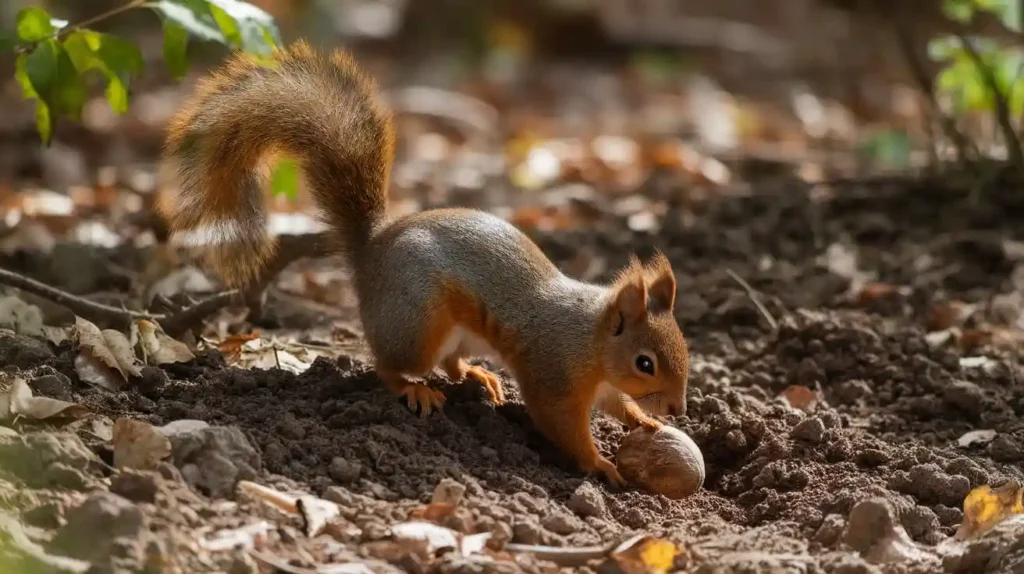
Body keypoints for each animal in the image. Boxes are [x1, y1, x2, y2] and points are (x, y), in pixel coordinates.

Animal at [157, 41, 688, 487]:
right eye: (645, 363)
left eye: (682, 347)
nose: (680, 409)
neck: (592, 341)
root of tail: (371, 252)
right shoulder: (553, 374)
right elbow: (559, 424)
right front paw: (599, 463)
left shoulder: (601, 385)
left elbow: (617, 404)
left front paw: (642, 418)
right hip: (416, 323)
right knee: (389, 365)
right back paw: (415, 389)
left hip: (457, 332)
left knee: (451, 363)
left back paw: (478, 376)